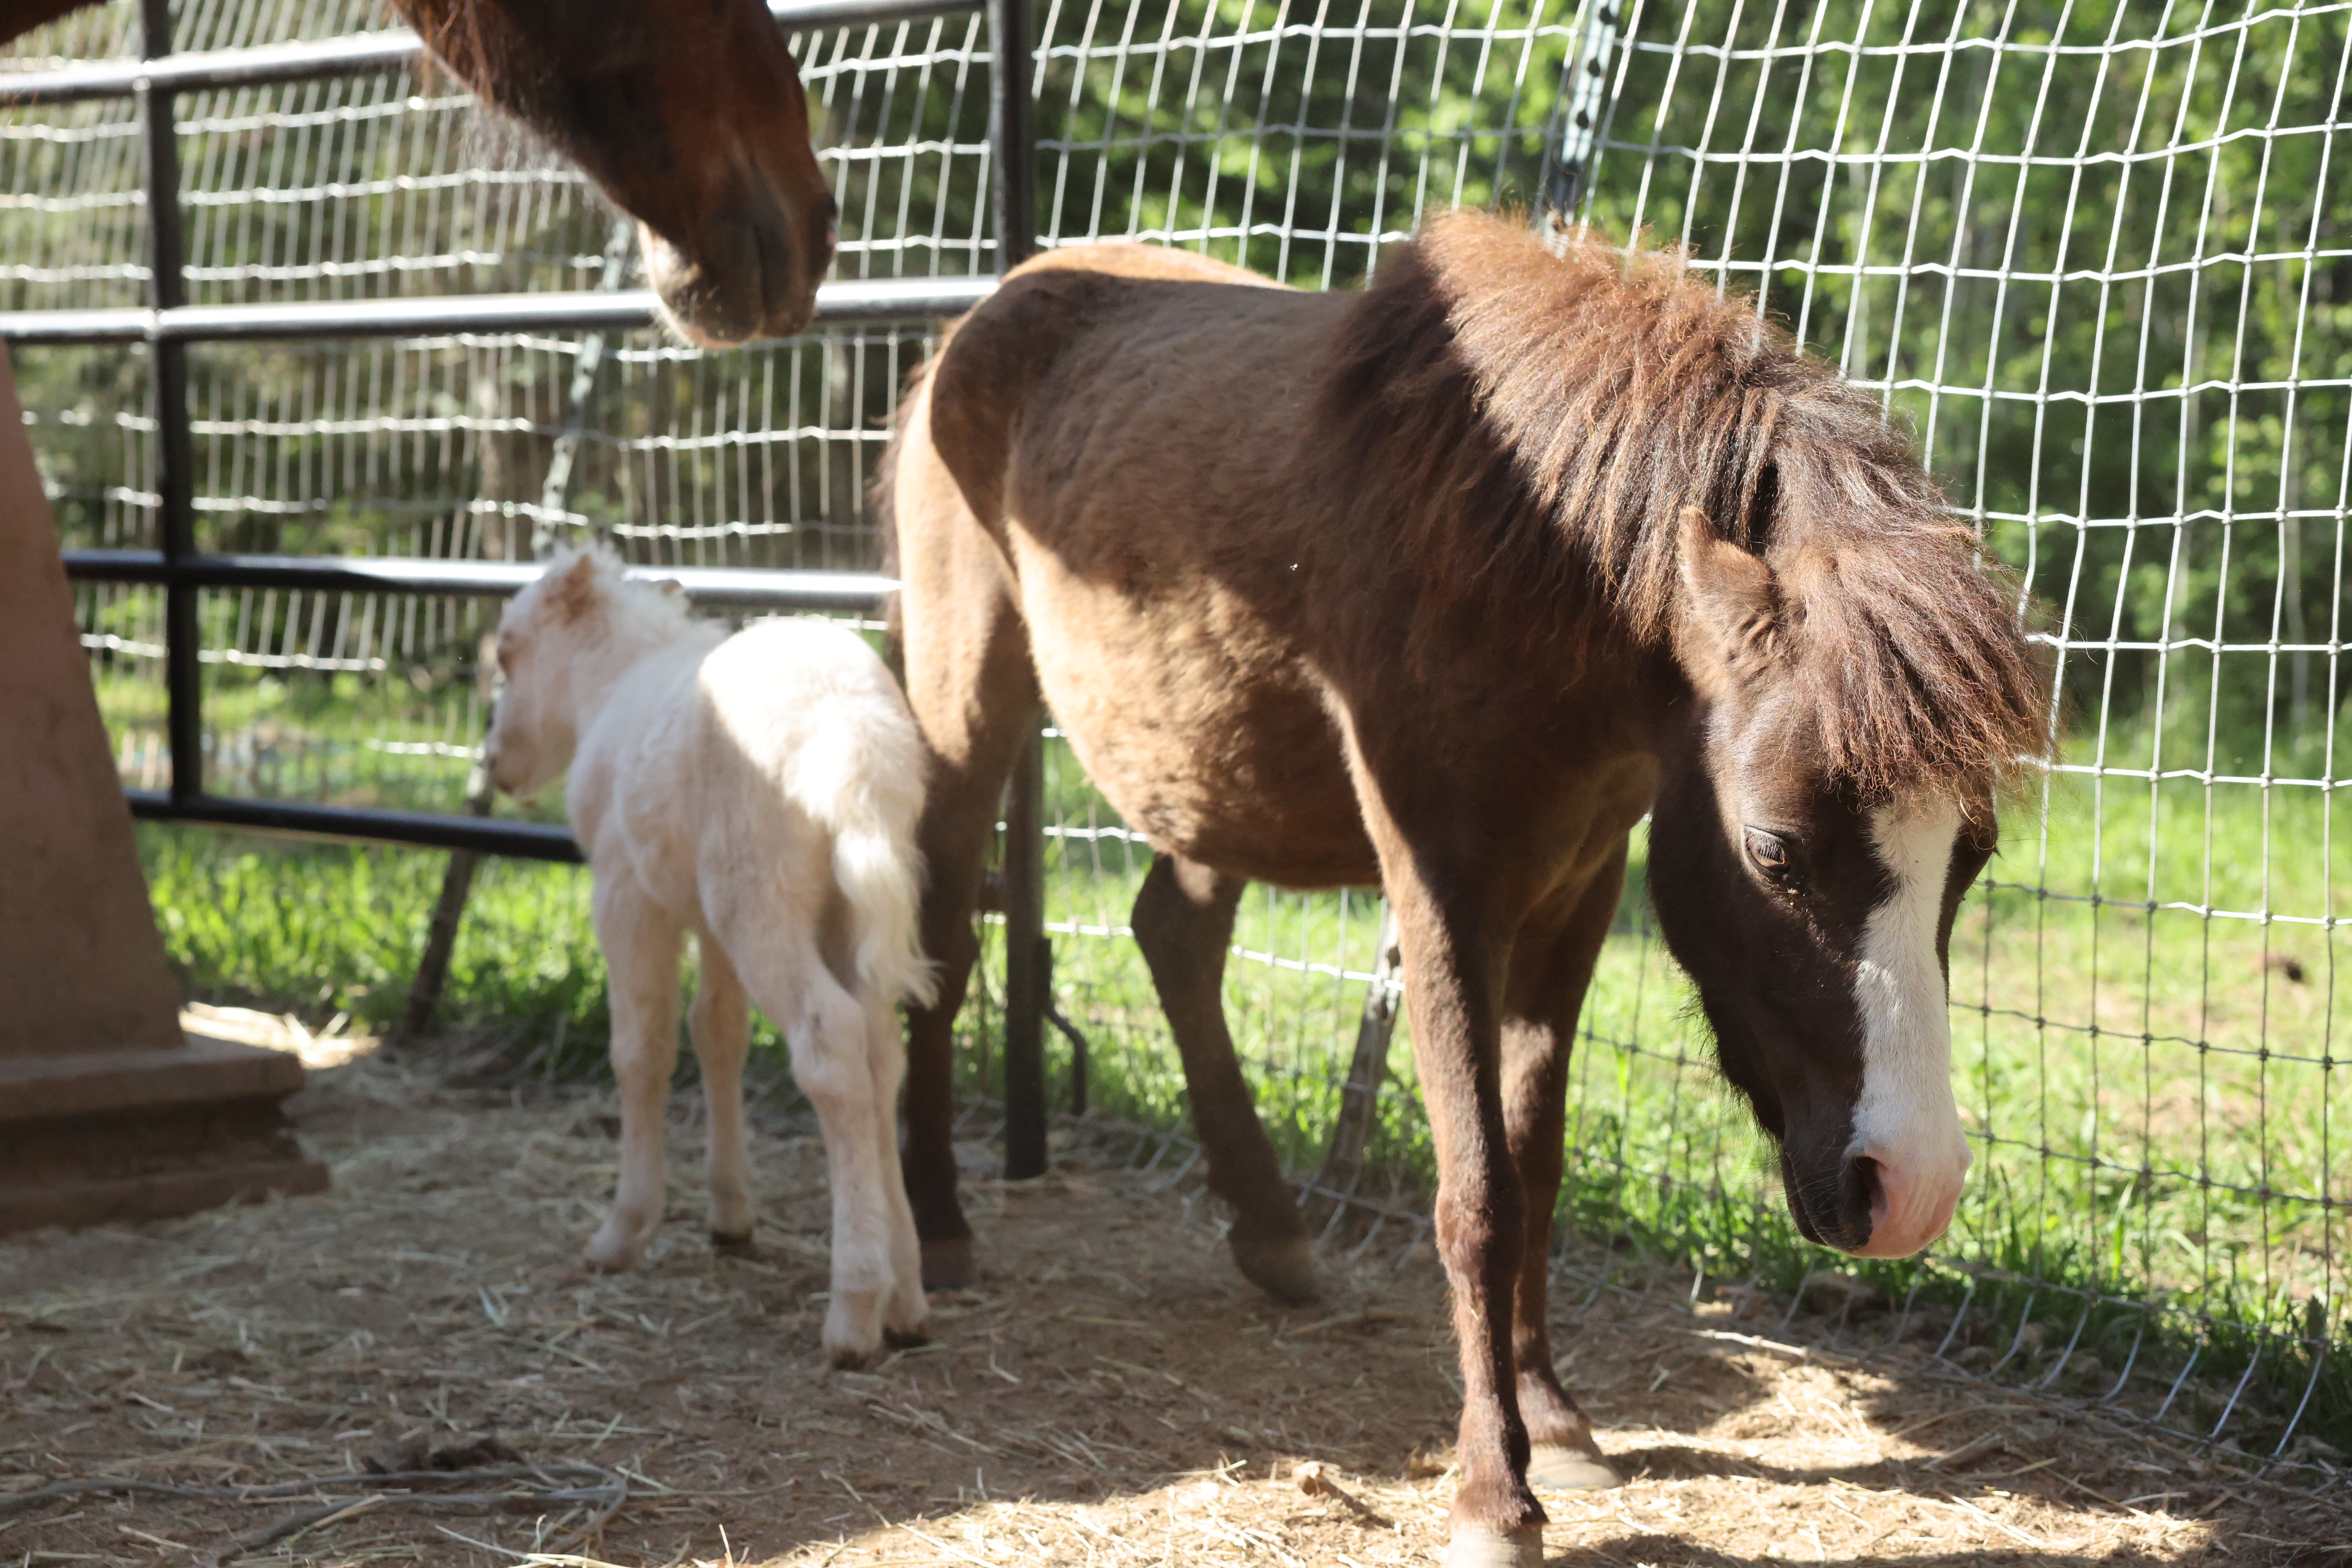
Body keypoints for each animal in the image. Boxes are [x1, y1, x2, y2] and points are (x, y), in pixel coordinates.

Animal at [486, 547, 935, 1367]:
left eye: (508, 653)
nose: (496, 762)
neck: (612, 690)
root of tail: (854, 735)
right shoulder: (704, 918)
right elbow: (718, 1033)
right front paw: (730, 1211)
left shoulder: (627, 893)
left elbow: (641, 1048)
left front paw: (624, 1230)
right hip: (842, 902)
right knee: (881, 1053)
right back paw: (906, 1298)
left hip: (758, 895)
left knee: (831, 1042)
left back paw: (854, 1311)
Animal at [880, 211, 2047, 1567]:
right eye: (1775, 853)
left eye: (1973, 858)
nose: (1911, 1189)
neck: (1529, 543)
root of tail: (991, 308)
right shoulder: (1442, 889)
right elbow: (1478, 1189)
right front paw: (1495, 1490)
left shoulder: (1578, 885)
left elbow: (1535, 1166)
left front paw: (1558, 1421)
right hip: (969, 702)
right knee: (946, 933)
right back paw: (938, 1223)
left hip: (1207, 761)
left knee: (1172, 937)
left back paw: (1271, 1229)